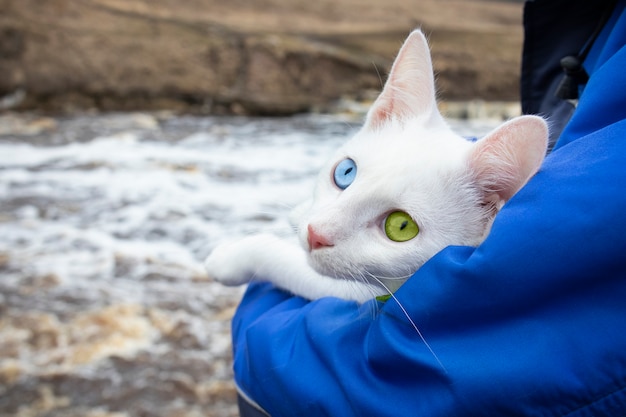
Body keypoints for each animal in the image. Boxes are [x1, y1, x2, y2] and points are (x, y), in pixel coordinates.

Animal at [202, 29, 544, 302]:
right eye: (345, 172)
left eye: (401, 226)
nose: (315, 234)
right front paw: (298, 215)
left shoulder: (364, 293)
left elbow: (285, 261)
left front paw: (230, 259)